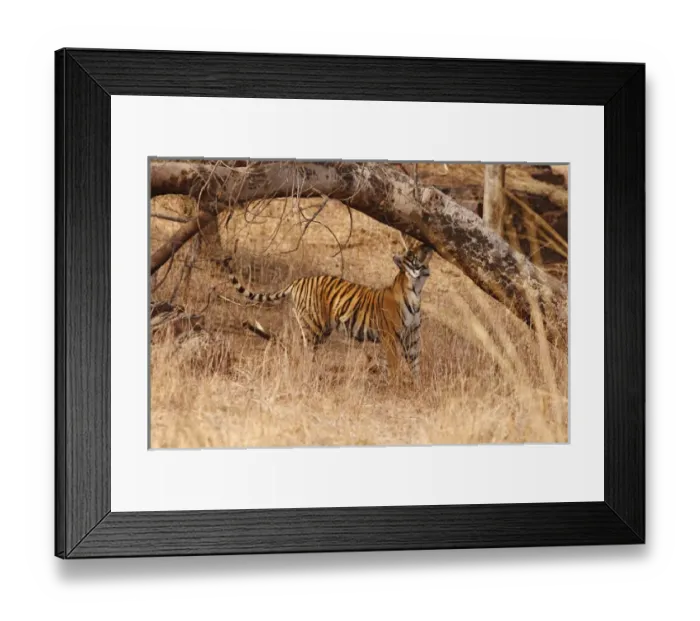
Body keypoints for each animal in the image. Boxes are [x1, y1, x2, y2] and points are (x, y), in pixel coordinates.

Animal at [227, 243, 434, 380]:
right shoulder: (390, 335)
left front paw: (416, 388)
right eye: (413, 253)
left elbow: (414, 363)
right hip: (312, 327)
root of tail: (298, 281)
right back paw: (306, 375)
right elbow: (395, 363)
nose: (428, 246)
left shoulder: (412, 336)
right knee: (303, 350)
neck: (416, 291)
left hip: (323, 330)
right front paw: (396, 386)